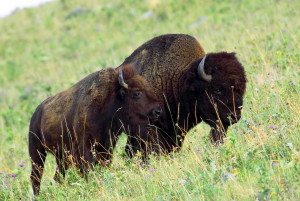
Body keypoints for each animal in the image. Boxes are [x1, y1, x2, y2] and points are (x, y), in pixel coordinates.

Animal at [28, 63, 162, 195]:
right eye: (137, 93)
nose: (158, 111)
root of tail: (36, 113)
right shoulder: (83, 146)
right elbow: (88, 168)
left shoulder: (106, 146)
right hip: (37, 153)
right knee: (36, 177)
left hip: (61, 157)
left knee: (58, 176)